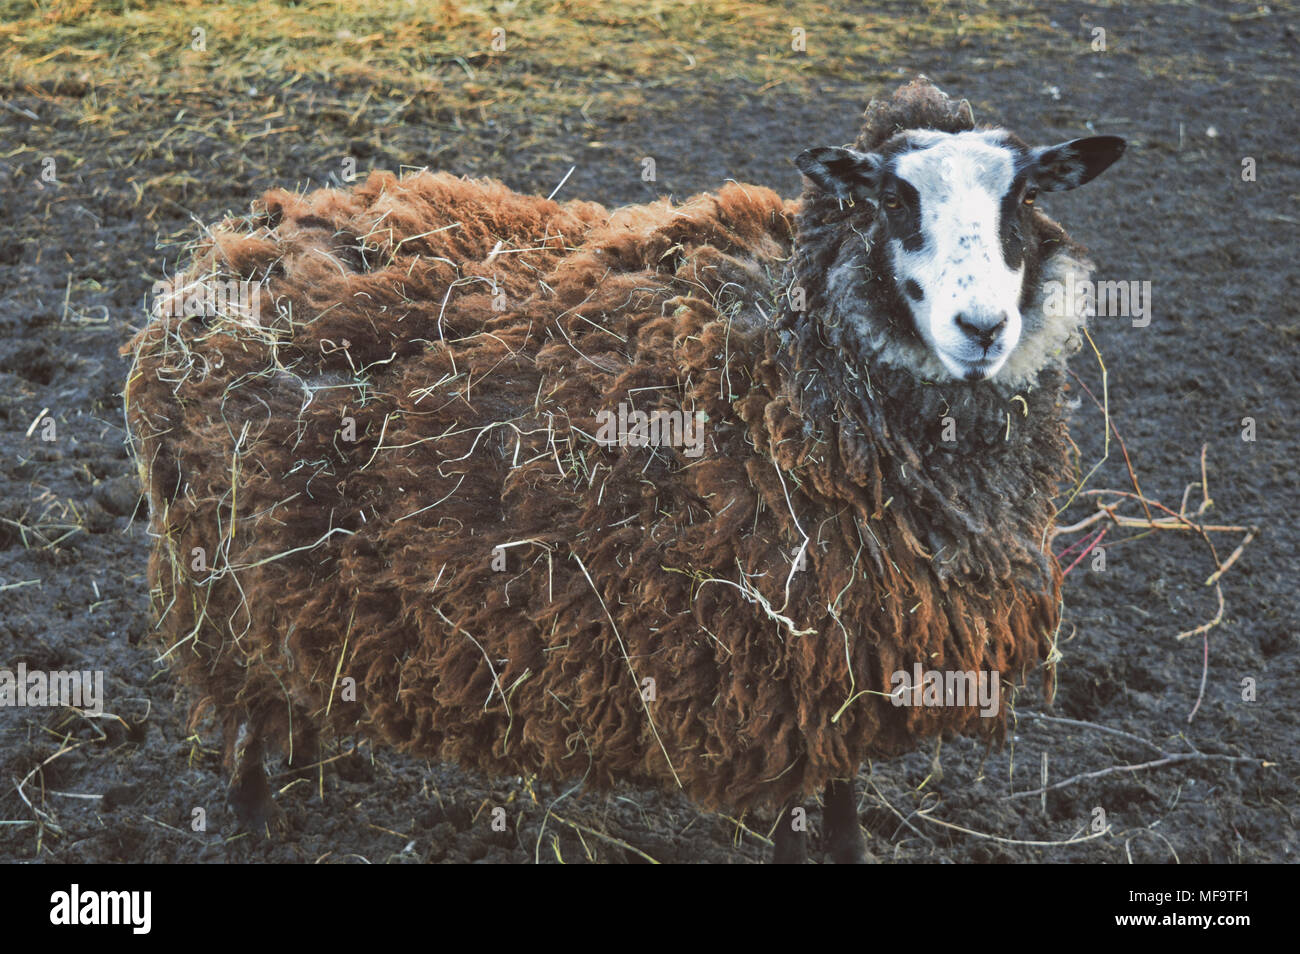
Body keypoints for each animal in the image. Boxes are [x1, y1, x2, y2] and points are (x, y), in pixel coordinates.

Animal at [126, 78, 1133, 863]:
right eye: (890, 200)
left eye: (1022, 200)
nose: (983, 329)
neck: (788, 365)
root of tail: (232, 241)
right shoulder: (795, 662)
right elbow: (815, 803)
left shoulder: (843, 664)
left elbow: (841, 797)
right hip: (221, 590)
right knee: (241, 710)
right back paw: (255, 815)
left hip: (289, 588)